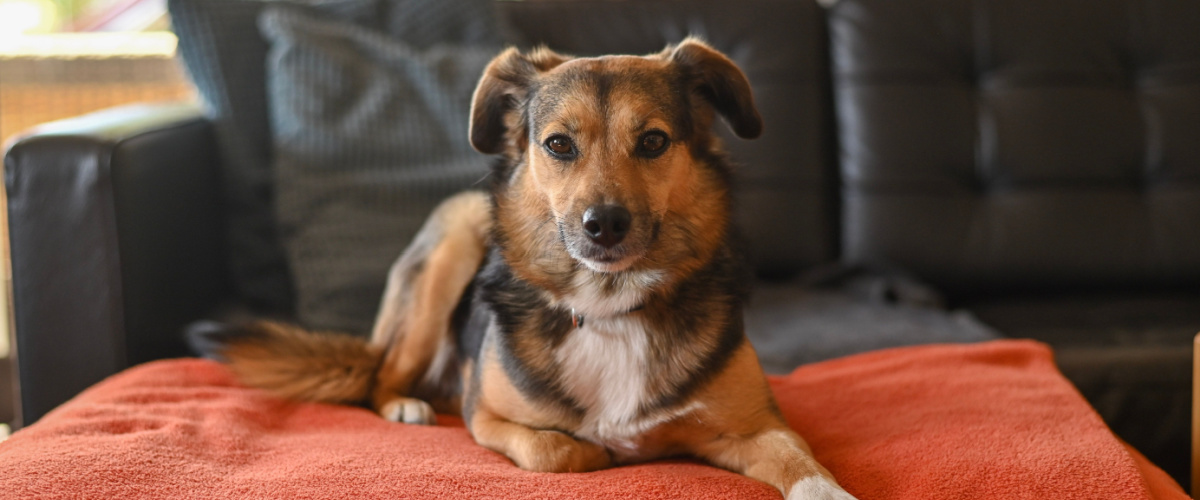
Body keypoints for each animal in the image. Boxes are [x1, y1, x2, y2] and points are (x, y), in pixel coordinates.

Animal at [192, 38, 859, 498]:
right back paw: (405, 404)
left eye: (653, 141)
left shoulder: (757, 428)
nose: (604, 224)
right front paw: (596, 454)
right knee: (383, 375)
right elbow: (554, 452)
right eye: (559, 144)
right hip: (453, 248)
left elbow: (803, 461)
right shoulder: (485, 416)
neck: (608, 306)